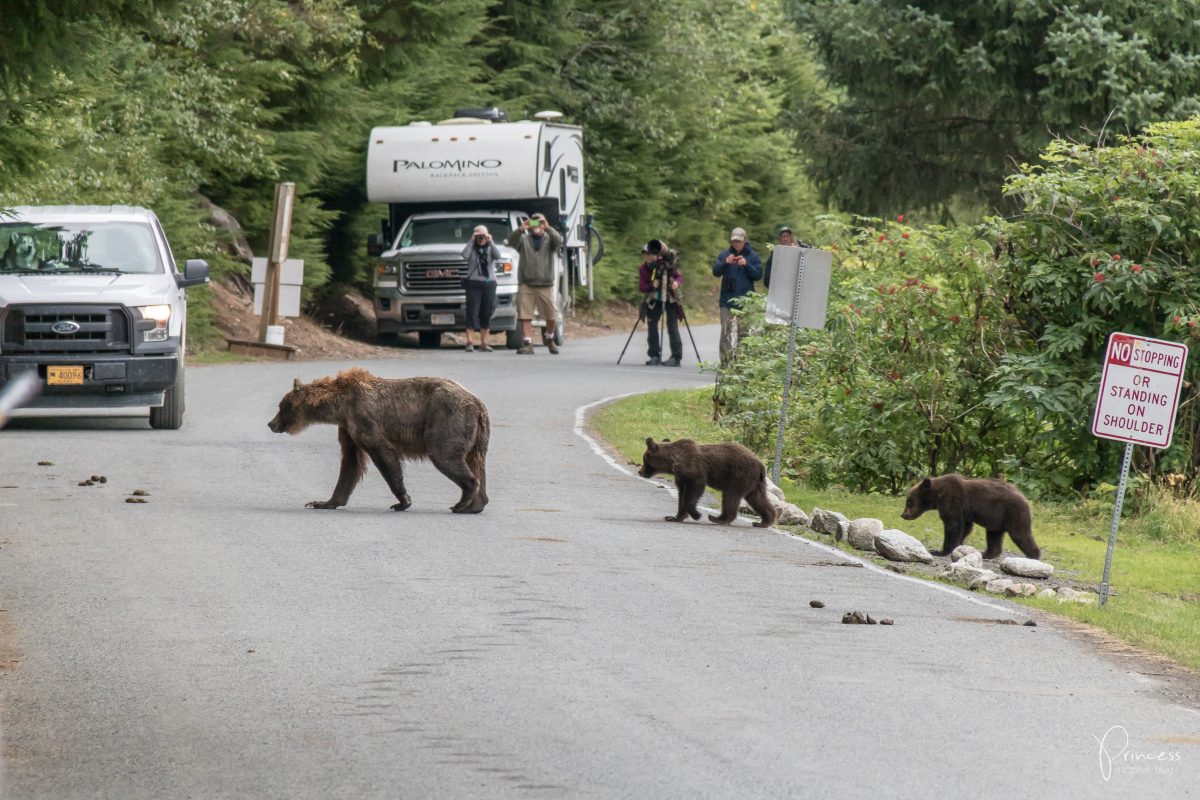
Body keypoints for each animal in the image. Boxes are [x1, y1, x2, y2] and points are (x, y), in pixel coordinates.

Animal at [270, 367, 489, 513]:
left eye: (282, 407)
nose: (271, 424)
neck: (339, 408)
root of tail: (478, 404)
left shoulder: (364, 419)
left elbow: (383, 455)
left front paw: (402, 501)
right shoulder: (347, 428)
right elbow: (350, 463)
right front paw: (324, 502)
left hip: (448, 420)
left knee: (445, 456)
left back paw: (461, 502)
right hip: (476, 436)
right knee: (477, 463)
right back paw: (476, 505)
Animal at [638, 434, 777, 527]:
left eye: (644, 459)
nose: (640, 472)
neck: (673, 462)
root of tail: (761, 464)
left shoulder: (694, 471)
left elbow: (694, 490)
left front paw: (697, 514)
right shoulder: (681, 478)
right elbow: (681, 495)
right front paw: (674, 516)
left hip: (738, 476)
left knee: (731, 496)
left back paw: (718, 518)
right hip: (754, 482)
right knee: (757, 499)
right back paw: (764, 521)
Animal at [902, 474, 1041, 563]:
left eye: (909, 501)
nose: (903, 515)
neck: (937, 495)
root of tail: (1025, 498)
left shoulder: (953, 502)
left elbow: (953, 526)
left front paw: (939, 551)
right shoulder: (965, 513)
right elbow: (965, 528)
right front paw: (958, 547)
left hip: (1013, 513)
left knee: (1021, 534)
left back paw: (1034, 556)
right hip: (997, 520)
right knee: (994, 536)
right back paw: (986, 553)